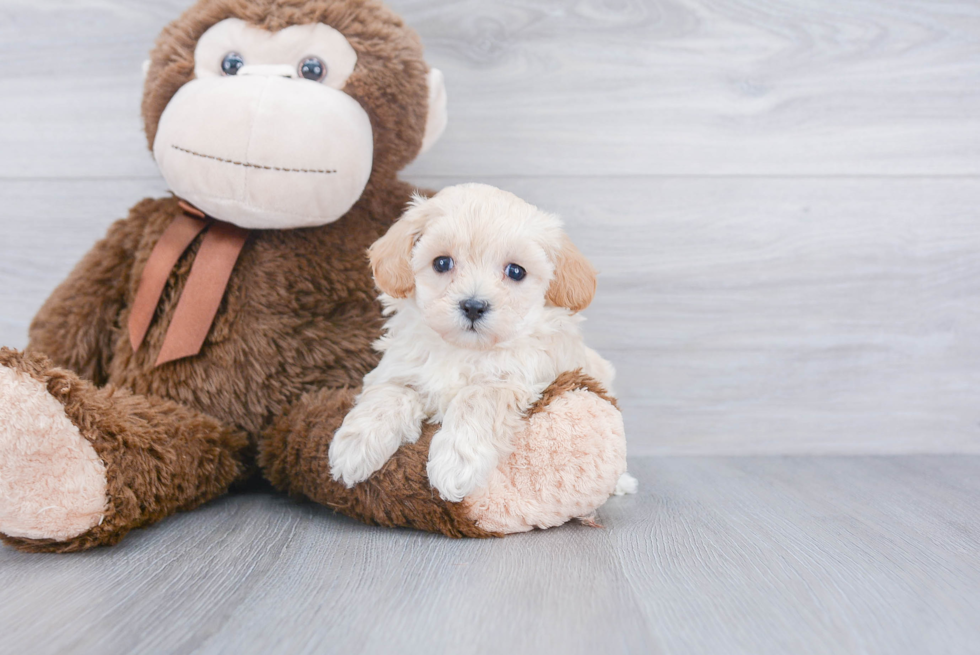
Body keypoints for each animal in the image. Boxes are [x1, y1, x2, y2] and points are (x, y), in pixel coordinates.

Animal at [328, 184, 628, 502]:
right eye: (442, 263)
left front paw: (455, 463)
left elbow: (476, 397)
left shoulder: (518, 378)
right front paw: (355, 446)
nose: (473, 306)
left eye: (516, 271)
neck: (464, 350)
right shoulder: (398, 367)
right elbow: (389, 394)